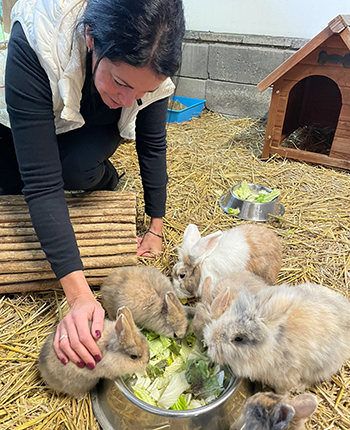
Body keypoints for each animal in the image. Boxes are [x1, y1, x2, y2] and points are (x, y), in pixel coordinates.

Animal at [204, 282, 350, 394]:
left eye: (238, 338)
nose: (209, 342)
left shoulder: (286, 376)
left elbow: (283, 390)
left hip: (321, 367)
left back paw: (298, 387)